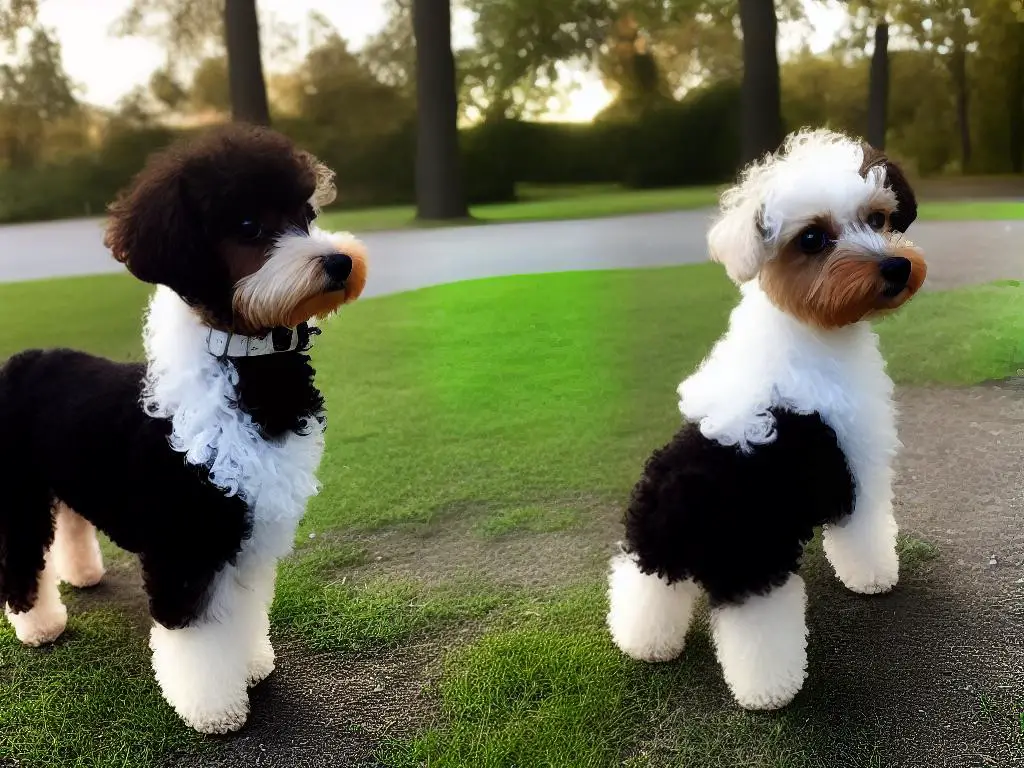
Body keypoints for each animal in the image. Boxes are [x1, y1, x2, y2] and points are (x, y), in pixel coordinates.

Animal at [0, 124, 368, 733]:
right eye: (248, 226)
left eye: (307, 214)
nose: (340, 261)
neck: (245, 372)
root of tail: (20, 361)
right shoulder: (187, 543)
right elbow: (197, 636)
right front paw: (214, 709)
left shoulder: (246, 539)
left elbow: (244, 612)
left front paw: (251, 665)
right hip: (20, 494)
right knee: (22, 556)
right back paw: (37, 625)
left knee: (72, 523)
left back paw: (83, 574)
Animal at [606, 129, 929, 712]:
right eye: (812, 239)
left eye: (878, 219)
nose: (896, 268)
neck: (808, 326)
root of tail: (679, 495)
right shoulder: (859, 476)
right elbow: (866, 535)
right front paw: (874, 578)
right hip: (754, 564)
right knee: (757, 636)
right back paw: (771, 693)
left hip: (650, 549)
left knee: (643, 592)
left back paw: (647, 646)